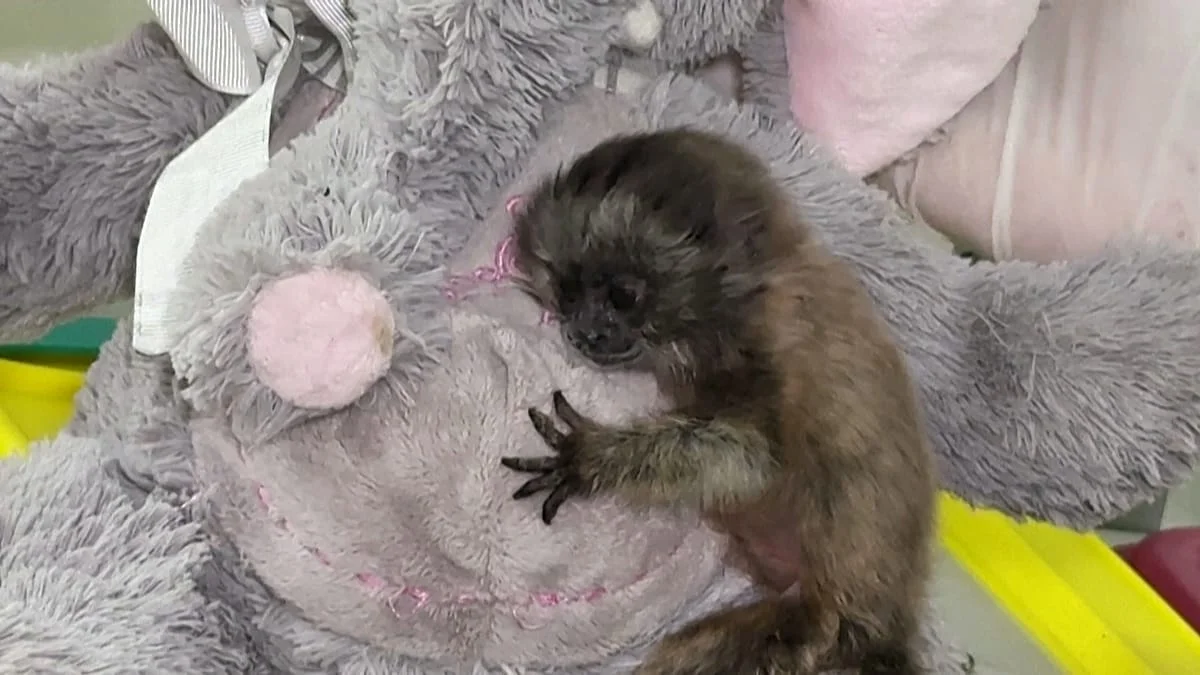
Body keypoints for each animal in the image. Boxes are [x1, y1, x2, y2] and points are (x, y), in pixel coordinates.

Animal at [499, 128, 938, 675]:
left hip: (822, 633)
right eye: (570, 294)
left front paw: (590, 461)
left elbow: (755, 460)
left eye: (623, 296)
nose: (586, 332)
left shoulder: (767, 338)